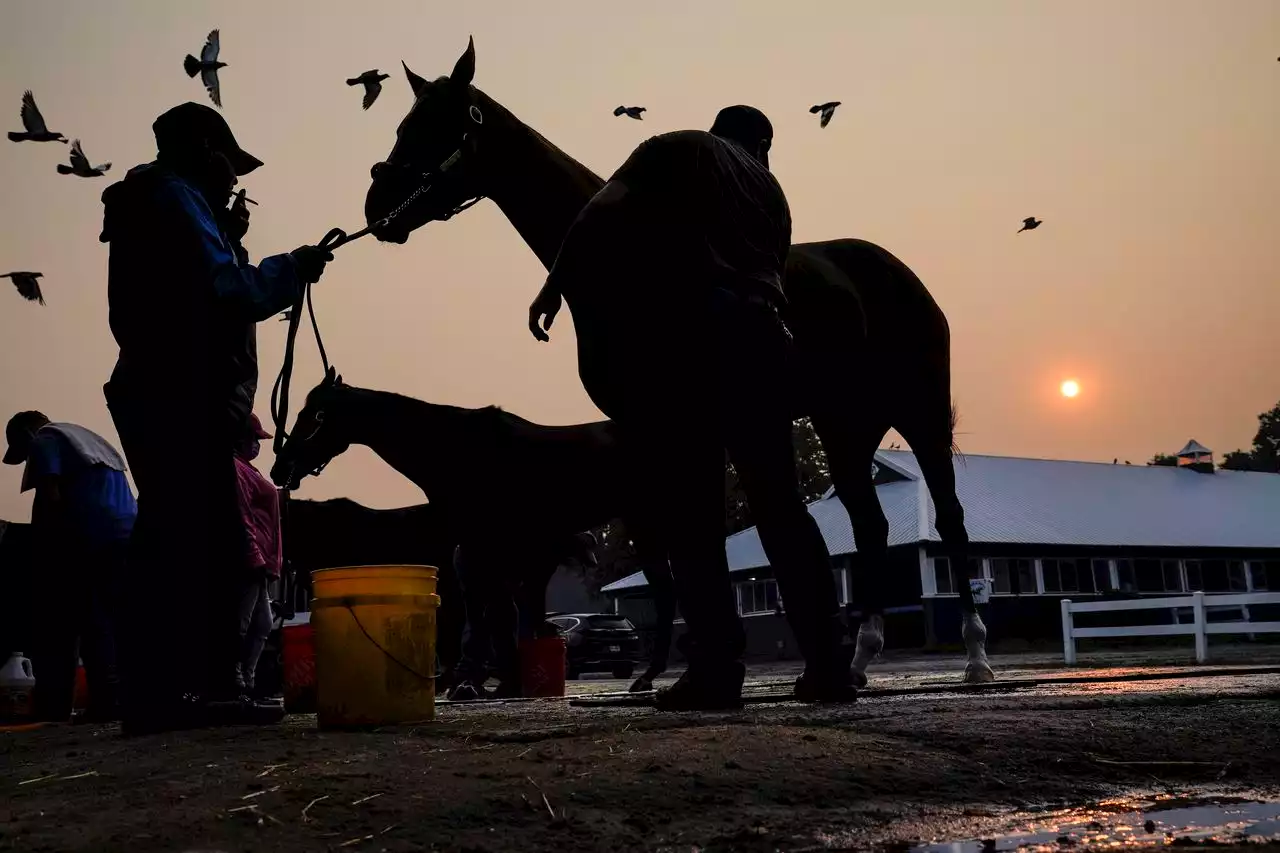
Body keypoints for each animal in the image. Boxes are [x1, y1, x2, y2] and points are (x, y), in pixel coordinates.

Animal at [358, 39, 988, 681]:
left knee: (951, 520)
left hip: (920, 414)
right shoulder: (665, 423)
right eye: (403, 124)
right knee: (869, 524)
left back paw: (974, 655)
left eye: (439, 125)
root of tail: (899, 274)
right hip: (845, 424)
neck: (630, 255)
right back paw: (859, 657)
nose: (376, 206)